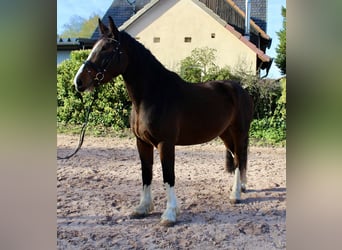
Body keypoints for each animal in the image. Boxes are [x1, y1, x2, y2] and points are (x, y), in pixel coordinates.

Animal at [73, 16, 254, 226]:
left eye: (106, 50)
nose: (78, 82)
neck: (152, 95)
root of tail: (240, 89)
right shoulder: (142, 143)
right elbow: (146, 174)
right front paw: (143, 208)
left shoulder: (165, 143)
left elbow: (169, 175)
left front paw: (170, 214)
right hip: (225, 134)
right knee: (237, 159)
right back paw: (241, 188)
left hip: (239, 132)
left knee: (239, 159)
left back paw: (236, 195)